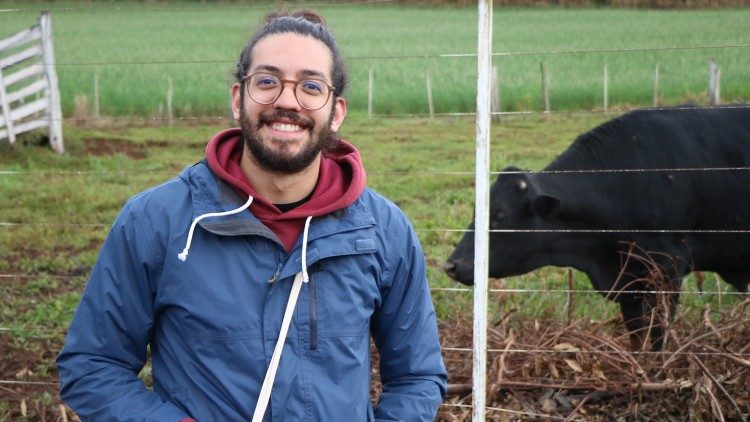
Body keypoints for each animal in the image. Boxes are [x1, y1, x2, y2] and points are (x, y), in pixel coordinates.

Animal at [446, 105, 750, 350]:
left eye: (499, 216)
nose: (451, 265)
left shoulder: (667, 271)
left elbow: (656, 337)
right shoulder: (630, 284)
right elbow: (637, 336)